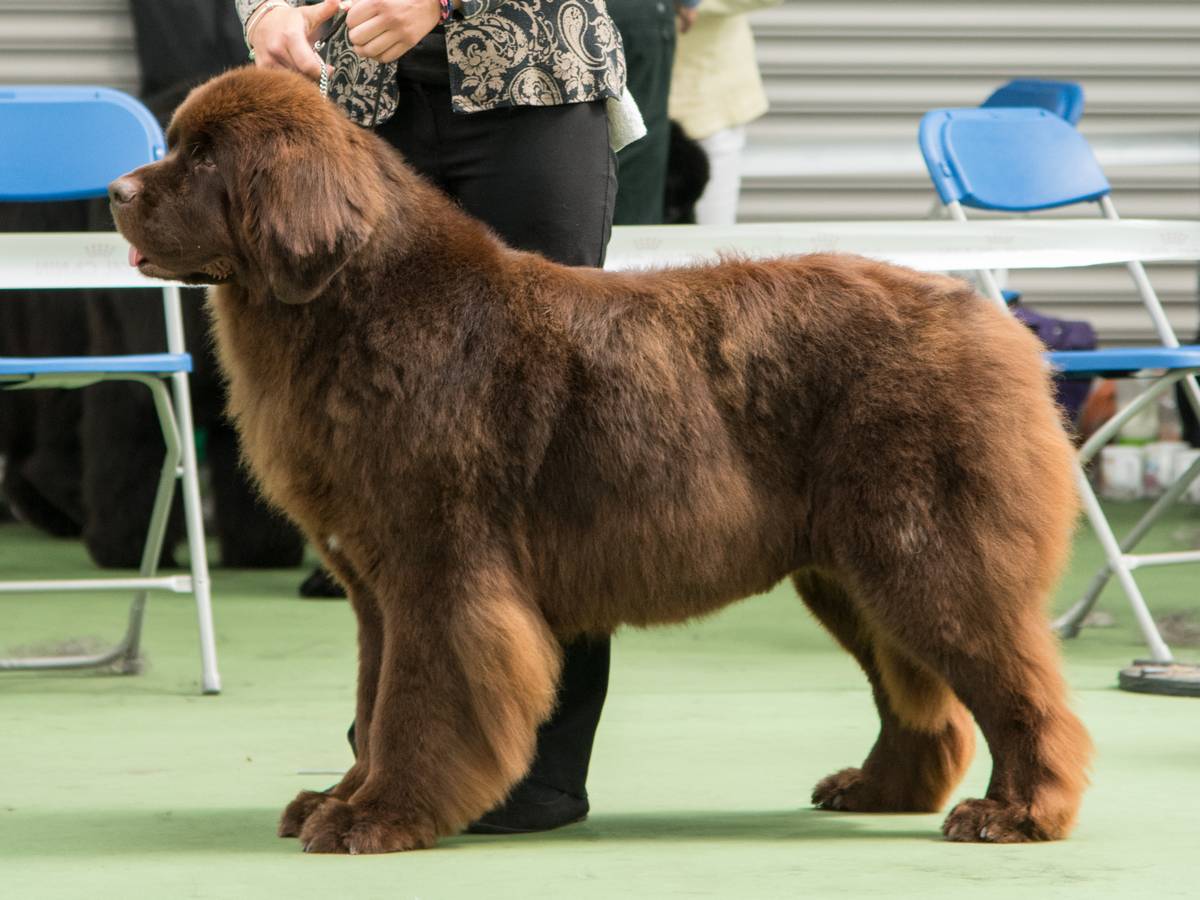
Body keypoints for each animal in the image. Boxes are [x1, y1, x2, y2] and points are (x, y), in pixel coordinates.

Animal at [110, 67, 1091, 853]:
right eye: (178, 146)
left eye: (206, 160)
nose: (117, 190)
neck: (356, 306)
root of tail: (994, 326)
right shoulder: (373, 584)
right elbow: (372, 697)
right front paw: (336, 799)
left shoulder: (439, 567)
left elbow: (413, 702)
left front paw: (376, 818)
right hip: (847, 571)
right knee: (916, 695)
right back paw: (879, 788)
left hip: (927, 553)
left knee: (1018, 689)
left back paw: (1017, 813)